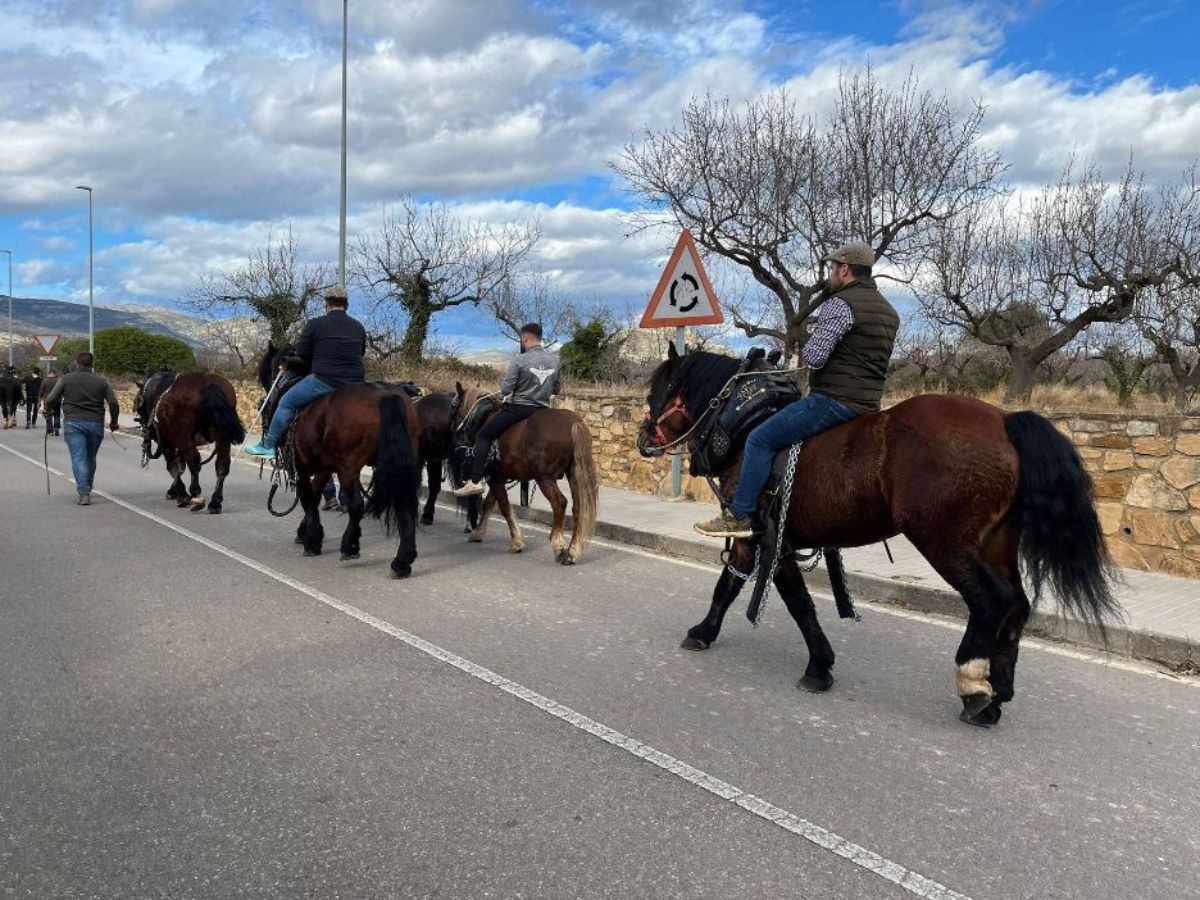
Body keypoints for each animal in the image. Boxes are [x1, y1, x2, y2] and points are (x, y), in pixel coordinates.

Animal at [135, 369, 247, 513]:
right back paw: (215, 502)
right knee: (222, 465)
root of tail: (209, 385)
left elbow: (173, 466)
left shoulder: (167, 442)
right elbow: (180, 466)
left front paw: (181, 494)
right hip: (222, 436)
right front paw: (174, 490)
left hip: (185, 434)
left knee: (193, 461)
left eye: (138, 404)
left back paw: (196, 495)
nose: (145, 430)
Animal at [451, 384, 600, 566]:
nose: (456, 438)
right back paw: (572, 551)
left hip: (545, 478)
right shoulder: (498, 478)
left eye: (454, 409)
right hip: (573, 475)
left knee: (560, 503)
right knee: (577, 507)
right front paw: (478, 532)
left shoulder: (495, 479)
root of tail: (573, 423)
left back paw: (558, 545)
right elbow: (488, 504)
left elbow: (504, 507)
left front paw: (516, 541)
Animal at [643, 348, 1118, 729]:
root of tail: (1004, 420)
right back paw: (997, 690)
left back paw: (973, 688)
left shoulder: (764, 537)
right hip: (996, 542)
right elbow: (742, 588)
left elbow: (785, 600)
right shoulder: (765, 540)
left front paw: (814, 664)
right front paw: (711, 632)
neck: (742, 424)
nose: (644, 437)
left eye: (657, 389)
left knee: (992, 601)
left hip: (945, 542)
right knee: (1017, 605)